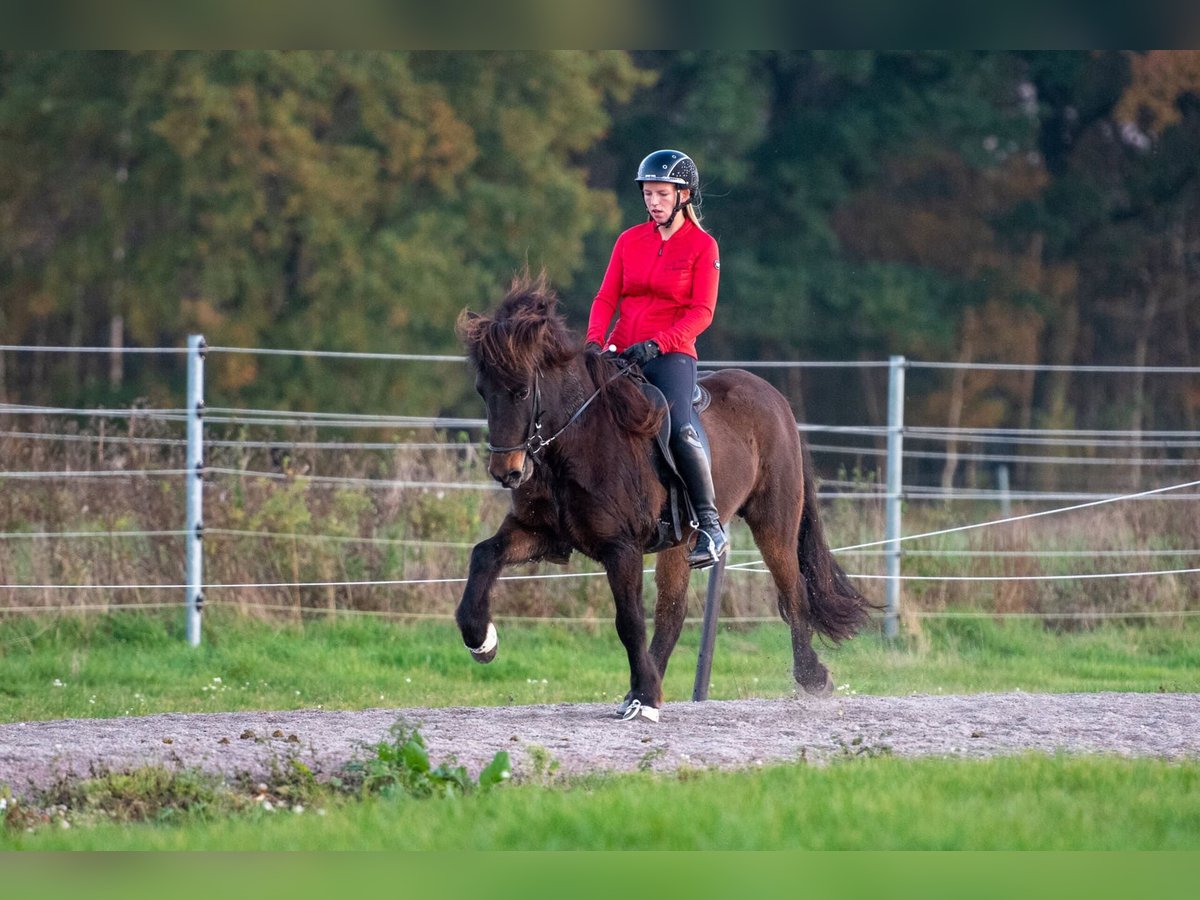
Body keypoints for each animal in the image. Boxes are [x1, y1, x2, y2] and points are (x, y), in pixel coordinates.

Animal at [451, 271, 873, 724]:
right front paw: (481, 640)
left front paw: (646, 693)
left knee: (792, 591)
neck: (577, 443)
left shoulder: (621, 547)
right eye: (482, 390)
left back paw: (811, 677)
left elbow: (629, 621)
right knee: (673, 613)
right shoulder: (538, 532)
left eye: (521, 391)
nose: (506, 472)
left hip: (773, 523)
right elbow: (484, 555)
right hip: (680, 542)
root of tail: (773, 396)